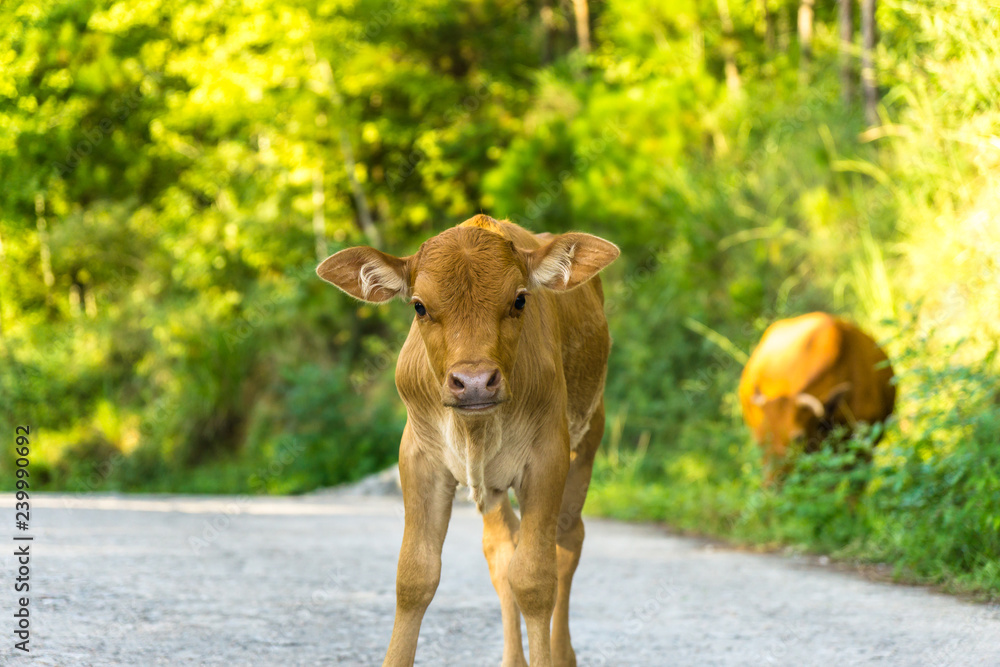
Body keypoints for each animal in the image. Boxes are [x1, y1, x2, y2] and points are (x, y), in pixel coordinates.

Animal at [318, 215, 616, 667]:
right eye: (419, 306)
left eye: (520, 300)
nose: (474, 382)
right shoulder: (419, 459)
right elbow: (414, 576)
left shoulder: (548, 458)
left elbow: (534, 580)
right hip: (491, 484)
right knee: (501, 550)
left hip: (588, 434)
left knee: (567, 542)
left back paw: (563, 653)